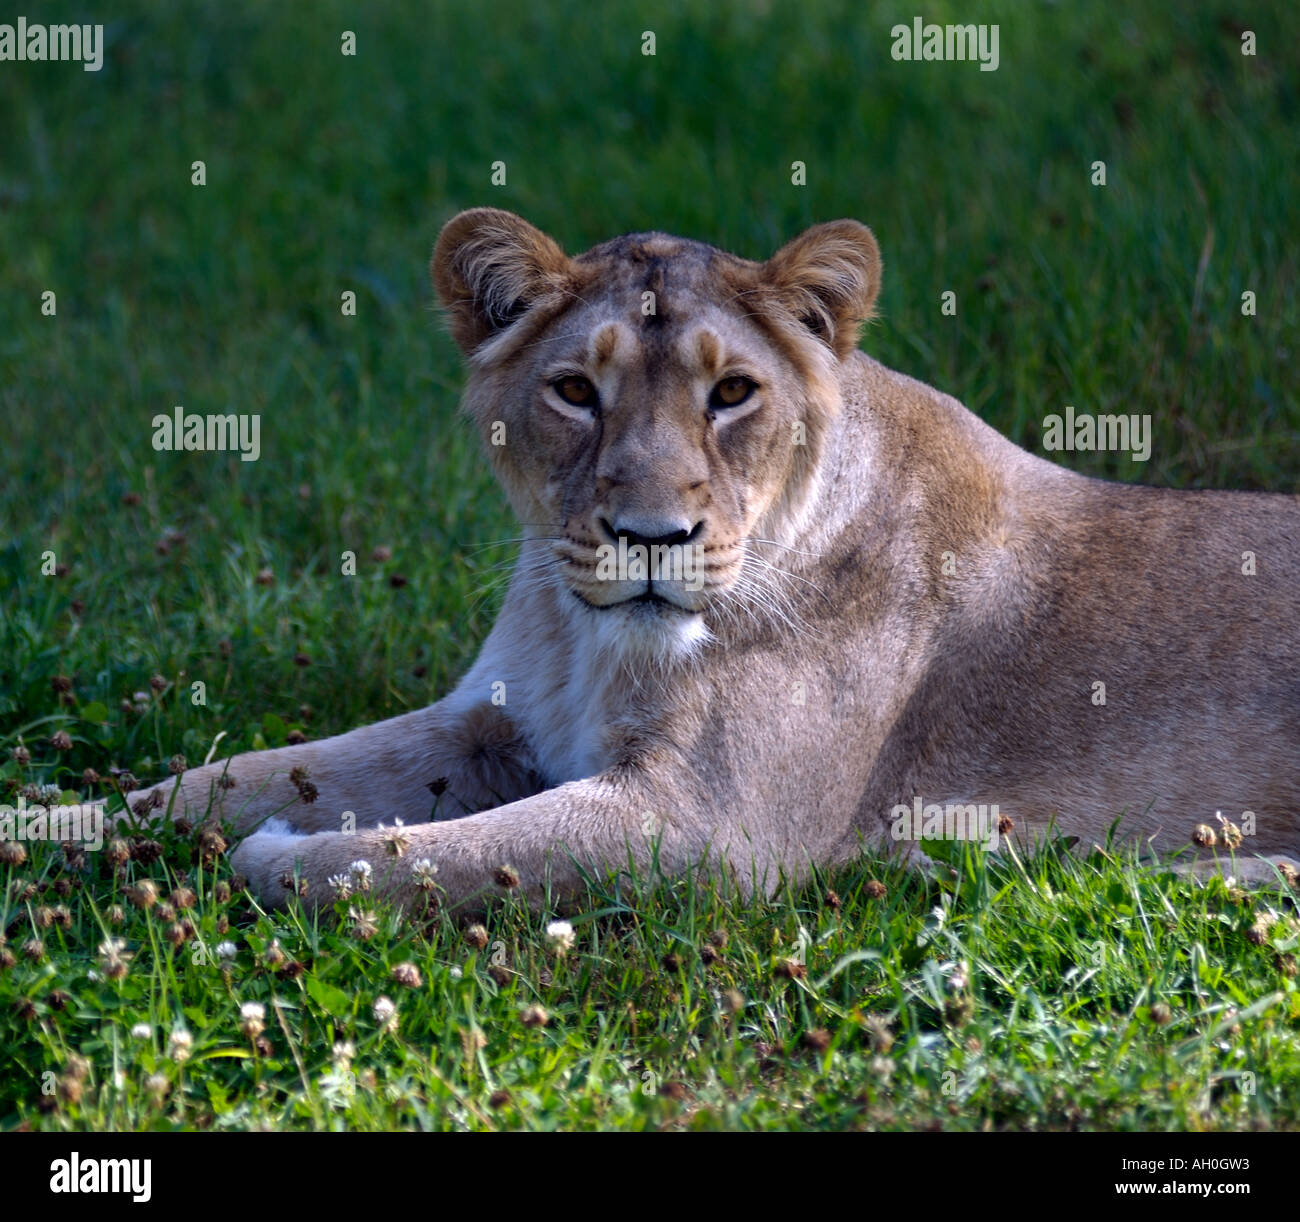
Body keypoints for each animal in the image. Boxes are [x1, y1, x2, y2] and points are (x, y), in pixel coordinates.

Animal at [128, 208, 1300, 908]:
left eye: (732, 391)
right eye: (574, 391)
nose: (653, 538)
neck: (583, 638)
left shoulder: (705, 823)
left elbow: (401, 858)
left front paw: (272, 853)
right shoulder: (493, 720)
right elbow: (235, 775)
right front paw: (101, 821)